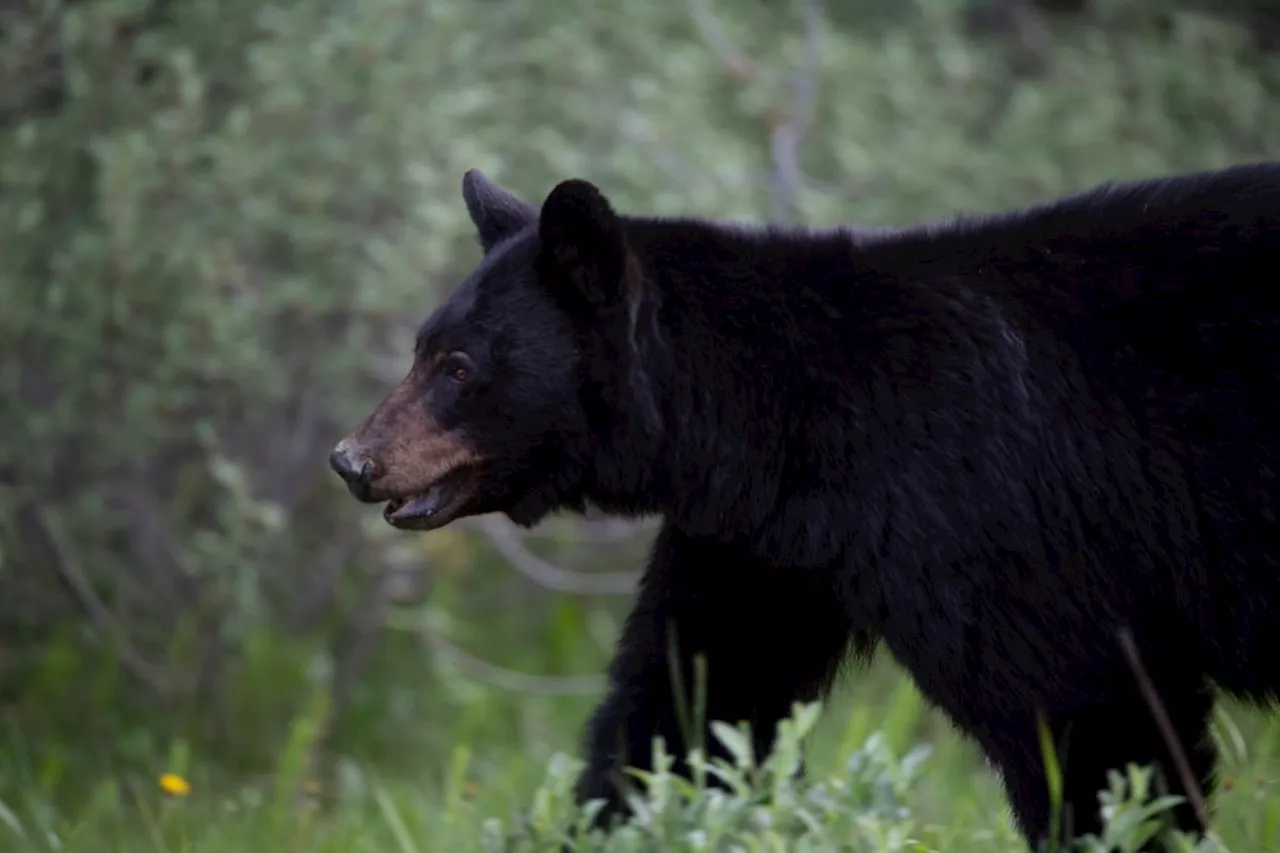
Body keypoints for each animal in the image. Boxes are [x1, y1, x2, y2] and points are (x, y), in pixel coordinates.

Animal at [325, 162, 1280, 845]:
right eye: (421, 348)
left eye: (458, 366)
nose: (351, 460)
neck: (791, 416)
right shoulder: (766, 544)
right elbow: (693, 703)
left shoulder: (979, 506)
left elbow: (1088, 713)